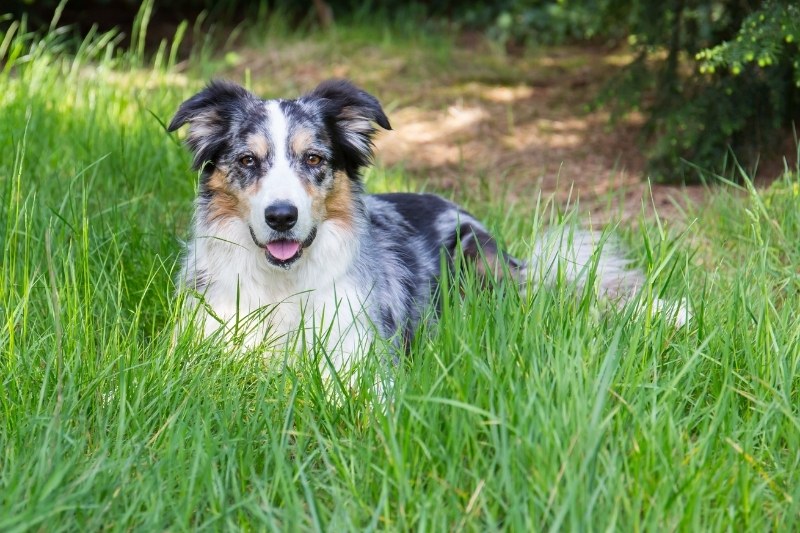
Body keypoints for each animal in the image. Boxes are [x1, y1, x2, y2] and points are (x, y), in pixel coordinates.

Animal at [169, 81, 688, 376]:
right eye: (247, 161)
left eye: (313, 159)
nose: (281, 216)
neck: (283, 285)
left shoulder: (360, 353)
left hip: (479, 263)